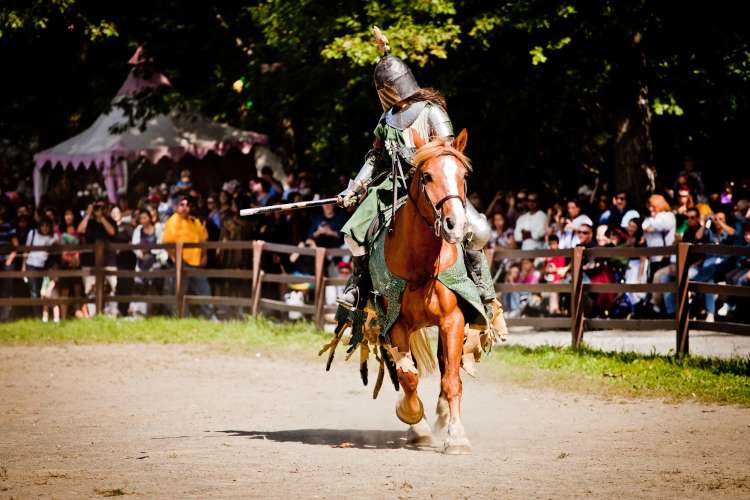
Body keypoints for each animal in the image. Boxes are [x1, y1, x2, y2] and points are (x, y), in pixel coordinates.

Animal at [388, 127, 476, 456]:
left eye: (463, 175)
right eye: (426, 176)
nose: (456, 224)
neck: (421, 265)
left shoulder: (452, 320)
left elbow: (451, 379)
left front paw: (457, 436)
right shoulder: (394, 324)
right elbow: (408, 377)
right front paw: (414, 420)